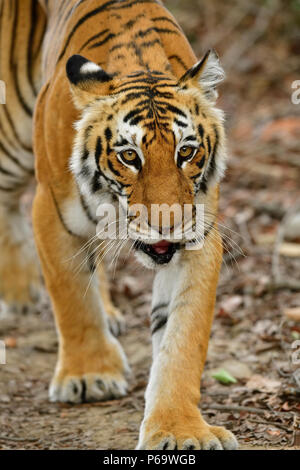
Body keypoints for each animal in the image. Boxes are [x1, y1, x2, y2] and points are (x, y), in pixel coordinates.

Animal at [0, 0, 239, 452]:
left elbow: (182, 338)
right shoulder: (52, 212)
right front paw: (90, 375)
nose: (169, 225)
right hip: (10, 131)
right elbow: (72, 299)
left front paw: (180, 430)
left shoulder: (199, 237)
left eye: (186, 152)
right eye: (129, 156)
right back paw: (19, 293)